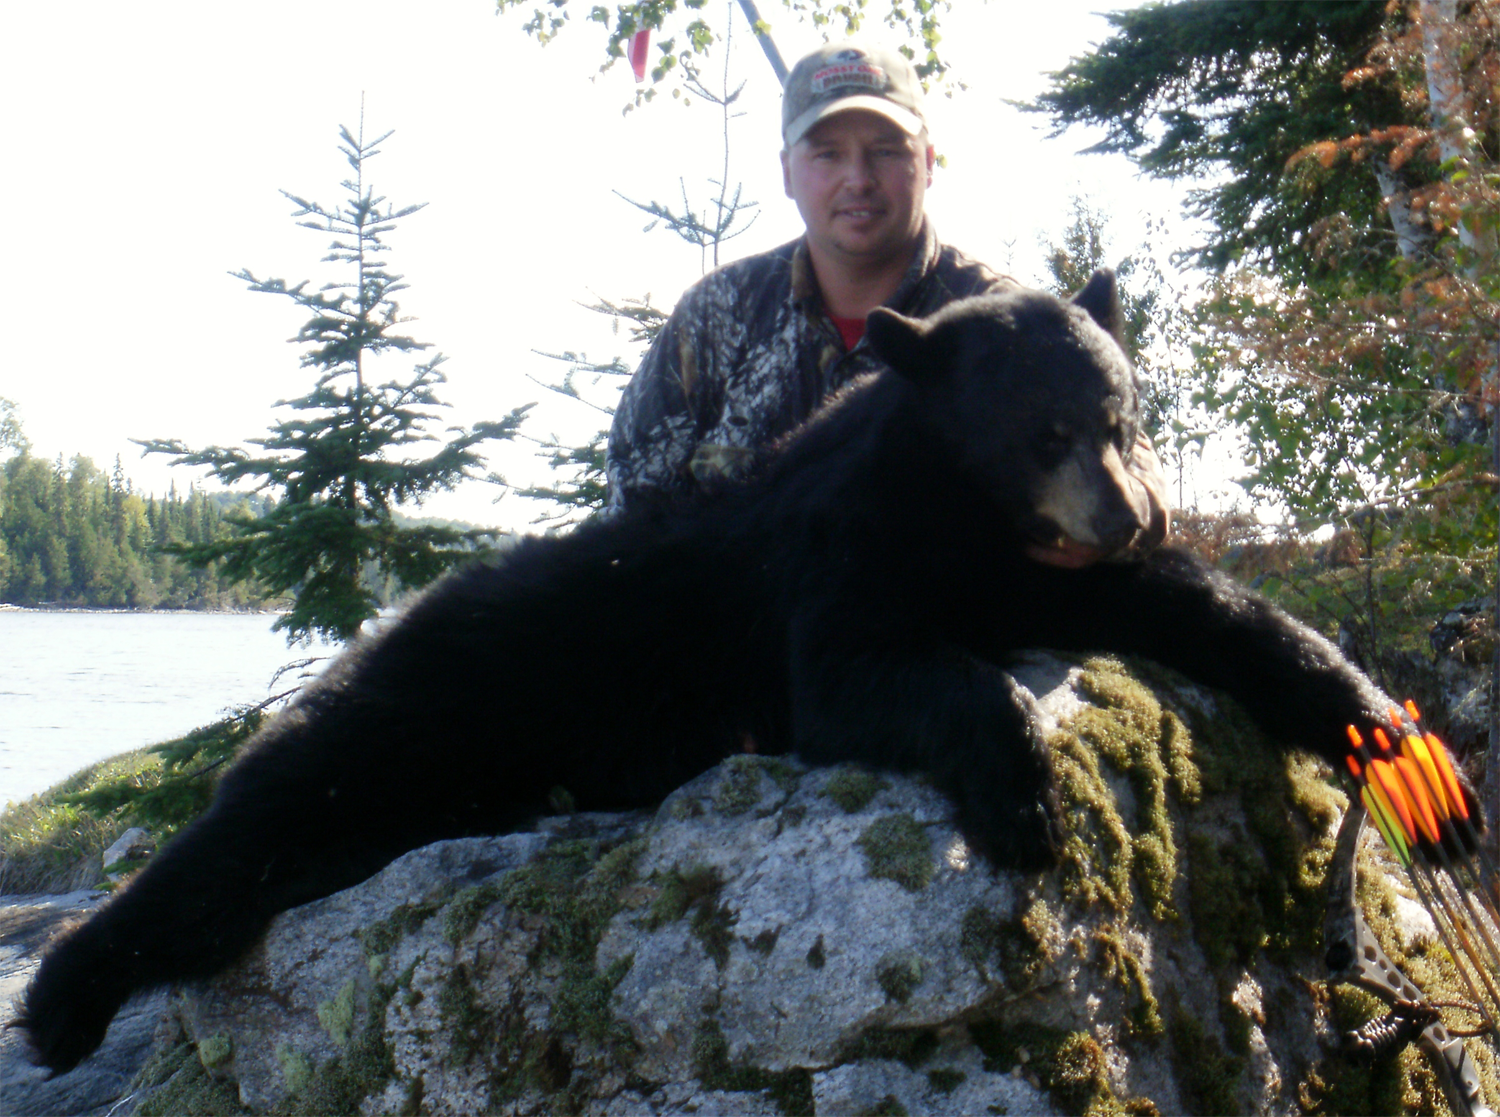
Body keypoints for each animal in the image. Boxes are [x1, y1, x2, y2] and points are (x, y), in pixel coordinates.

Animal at [18, 271, 1440, 1075]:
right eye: (1043, 427)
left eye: (1125, 415)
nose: (1137, 510)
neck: (966, 519)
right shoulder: (836, 556)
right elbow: (859, 676)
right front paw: (1024, 789)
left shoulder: (1046, 572)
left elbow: (1205, 608)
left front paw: (1384, 732)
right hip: (422, 705)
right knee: (247, 828)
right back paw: (63, 1001)